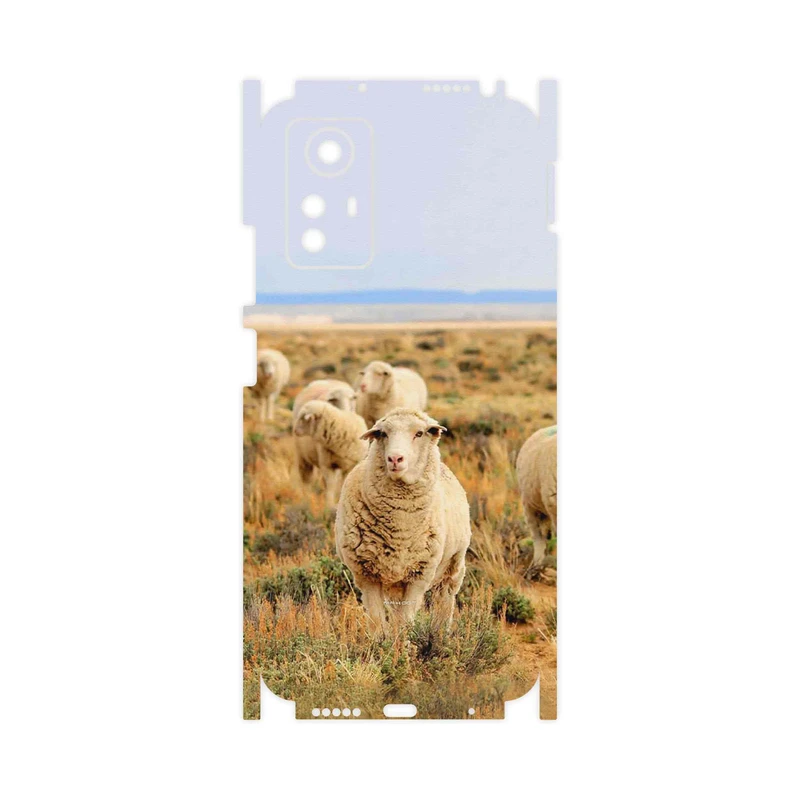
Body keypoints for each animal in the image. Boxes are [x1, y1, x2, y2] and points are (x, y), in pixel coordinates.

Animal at [335, 408, 471, 633]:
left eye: (419, 433)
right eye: (383, 433)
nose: (395, 458)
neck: (400, 527)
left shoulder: (419, 575)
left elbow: (405, 621)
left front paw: (404, 642)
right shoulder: (366, 574)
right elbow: (377, 621)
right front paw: (381, 641)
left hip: (453, 566)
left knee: (444, 600)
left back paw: (440, 633)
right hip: (394, 582)